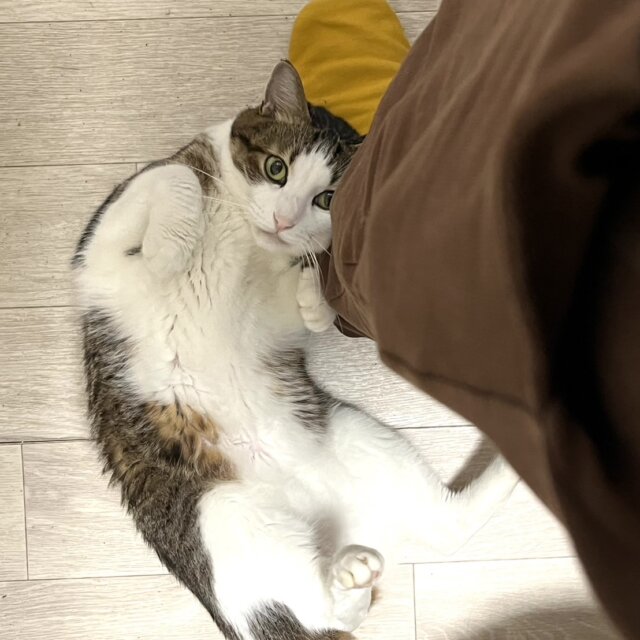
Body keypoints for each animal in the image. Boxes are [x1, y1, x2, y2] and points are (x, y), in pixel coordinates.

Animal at [73, 61, 519, 640]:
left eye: (327, 199)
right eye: (276, 168)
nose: (283, 222)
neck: (245, 234)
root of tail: (341, 529)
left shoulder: (266, 318)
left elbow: (297, 306)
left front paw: (314, 293)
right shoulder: (100, 252)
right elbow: (174, 177)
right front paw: (172, 247)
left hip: (358, 437)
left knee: (447, 527)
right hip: (220, 517)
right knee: (334, 590)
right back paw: (351, 581)